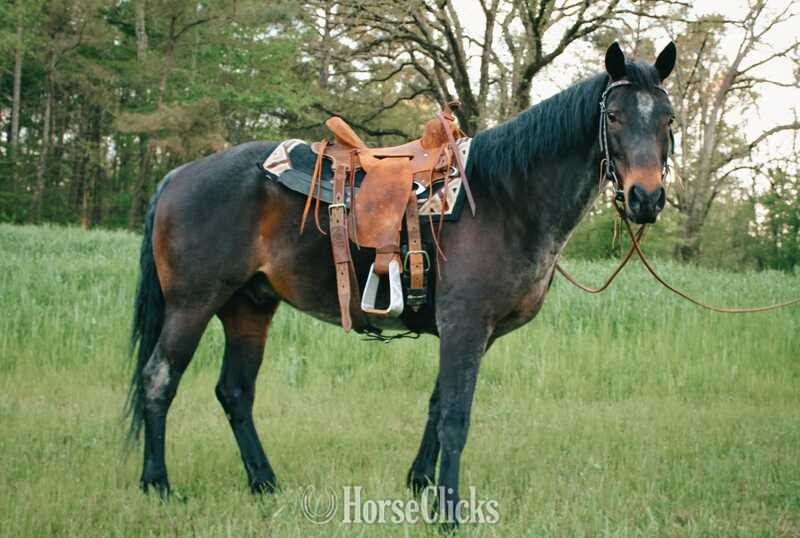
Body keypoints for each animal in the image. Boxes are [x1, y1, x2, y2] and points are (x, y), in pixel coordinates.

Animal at [126, 41, 677, 519]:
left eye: (668, 119)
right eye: (613, 116)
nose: (646, 197)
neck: (505, 198)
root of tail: (177, 176)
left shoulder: (471, 334)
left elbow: (436, 407)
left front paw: (421, 485)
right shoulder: (464, 325)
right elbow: (455, 417)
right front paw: (449, 512)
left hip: (248, 307)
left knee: (235, 391)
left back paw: (264, 482)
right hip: (192, 306)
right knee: (158, 381)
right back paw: (158, 484)